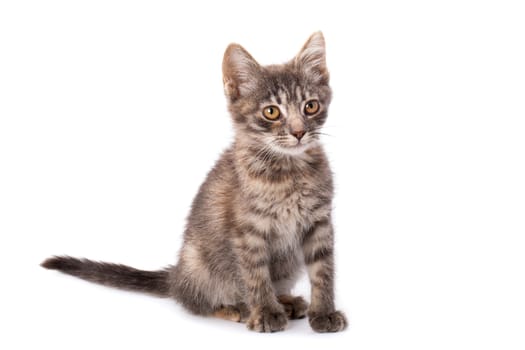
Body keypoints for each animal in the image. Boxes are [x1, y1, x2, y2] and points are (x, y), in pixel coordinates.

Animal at [43, 32, 346, 334]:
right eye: (271, 112)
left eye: (310, 106)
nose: (299, 132)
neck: (289, 171)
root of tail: (176, 275)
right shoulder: (247, 231)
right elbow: (256, 275)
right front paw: (266, 312)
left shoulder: (319, 222)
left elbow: (323, 271)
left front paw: (324, 312)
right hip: (198, 263)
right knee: (195, 301)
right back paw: (236, 308)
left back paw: (286, 301)